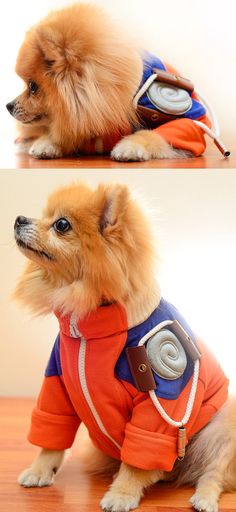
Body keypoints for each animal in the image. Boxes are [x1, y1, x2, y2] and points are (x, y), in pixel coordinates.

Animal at [6, 2, 222, 162]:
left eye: (32, 86)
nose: (8, 105)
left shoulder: (190, 122)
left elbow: (156, 133)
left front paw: (130, 146)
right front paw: (47, 142)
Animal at [13, 181, 236, 512]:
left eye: (61, 225)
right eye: (44, 215)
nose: (18, 219)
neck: (88, 330)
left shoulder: (161, 401)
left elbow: (139, 457)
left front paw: (122, 493)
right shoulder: (57, 383)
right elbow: (52, 432)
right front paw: (40, 470)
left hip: (220, 429)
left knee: (213, 474)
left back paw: (204, 498)